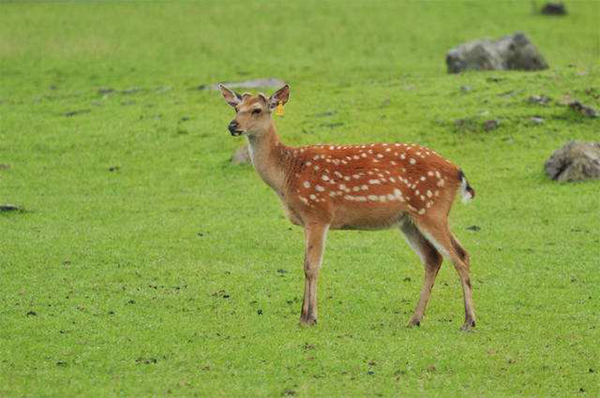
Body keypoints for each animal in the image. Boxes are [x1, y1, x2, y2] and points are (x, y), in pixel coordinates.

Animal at [218, 83, 476, 330]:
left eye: (257, 110)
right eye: (236, 108)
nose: (232, 125)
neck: (287, 175)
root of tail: (457, 172)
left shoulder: (318, 213)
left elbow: (311, 266)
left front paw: (310, 318)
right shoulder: (307, 221)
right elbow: (305, 264)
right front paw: (303, 317)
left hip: (431, 209)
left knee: (458, 257)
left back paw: (468, 321)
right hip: (411, 220)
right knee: (437, 257)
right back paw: (415, 319)